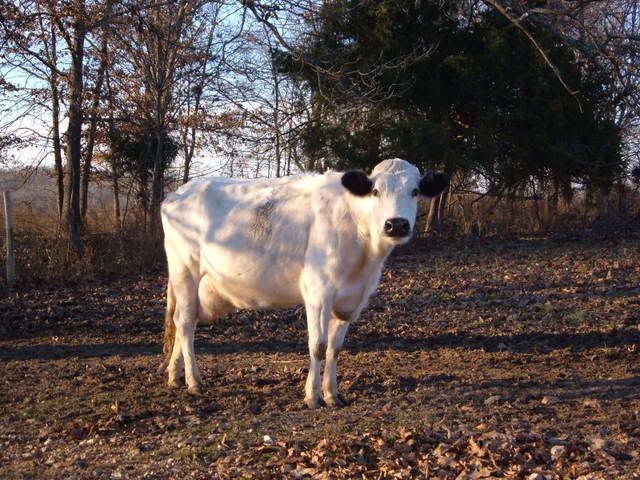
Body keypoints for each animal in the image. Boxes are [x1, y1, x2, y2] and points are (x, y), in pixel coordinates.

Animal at [161, 158, 449, 408]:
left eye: (414, 191)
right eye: (376, 191)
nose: (396, 224)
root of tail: (178, 193)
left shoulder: (351, 300)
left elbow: (335, 348)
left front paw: (332, 394)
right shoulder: (318, 293)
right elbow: (318, 346)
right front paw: (312, 396)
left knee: (181, 320)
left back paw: (175, 375)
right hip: (185, 271)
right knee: (185, 324)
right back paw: (194, 381)